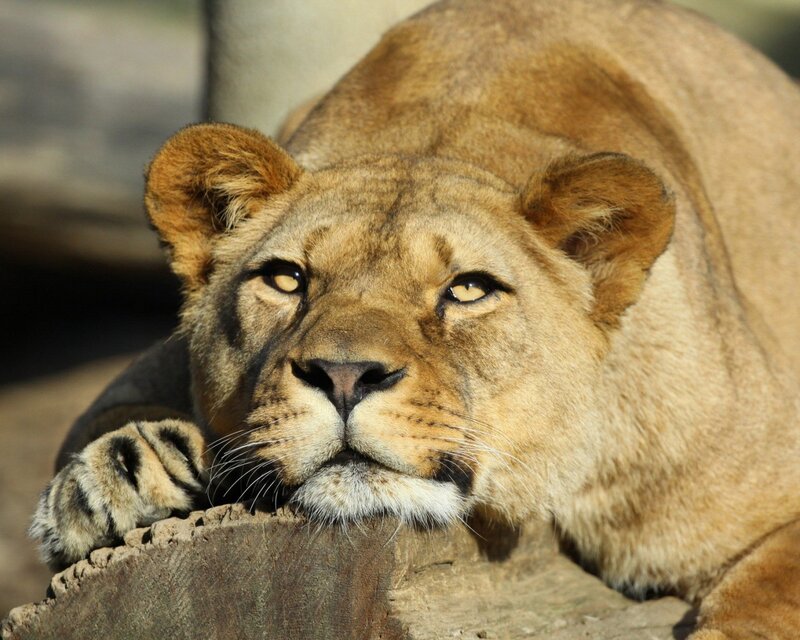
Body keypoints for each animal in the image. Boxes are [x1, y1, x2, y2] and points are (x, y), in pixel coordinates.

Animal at [29, 0, 800, 637]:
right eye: (286, 279)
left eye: (468, 290)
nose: (344, 376)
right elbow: (100, 419)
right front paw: (122, 476)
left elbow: (765, 591)